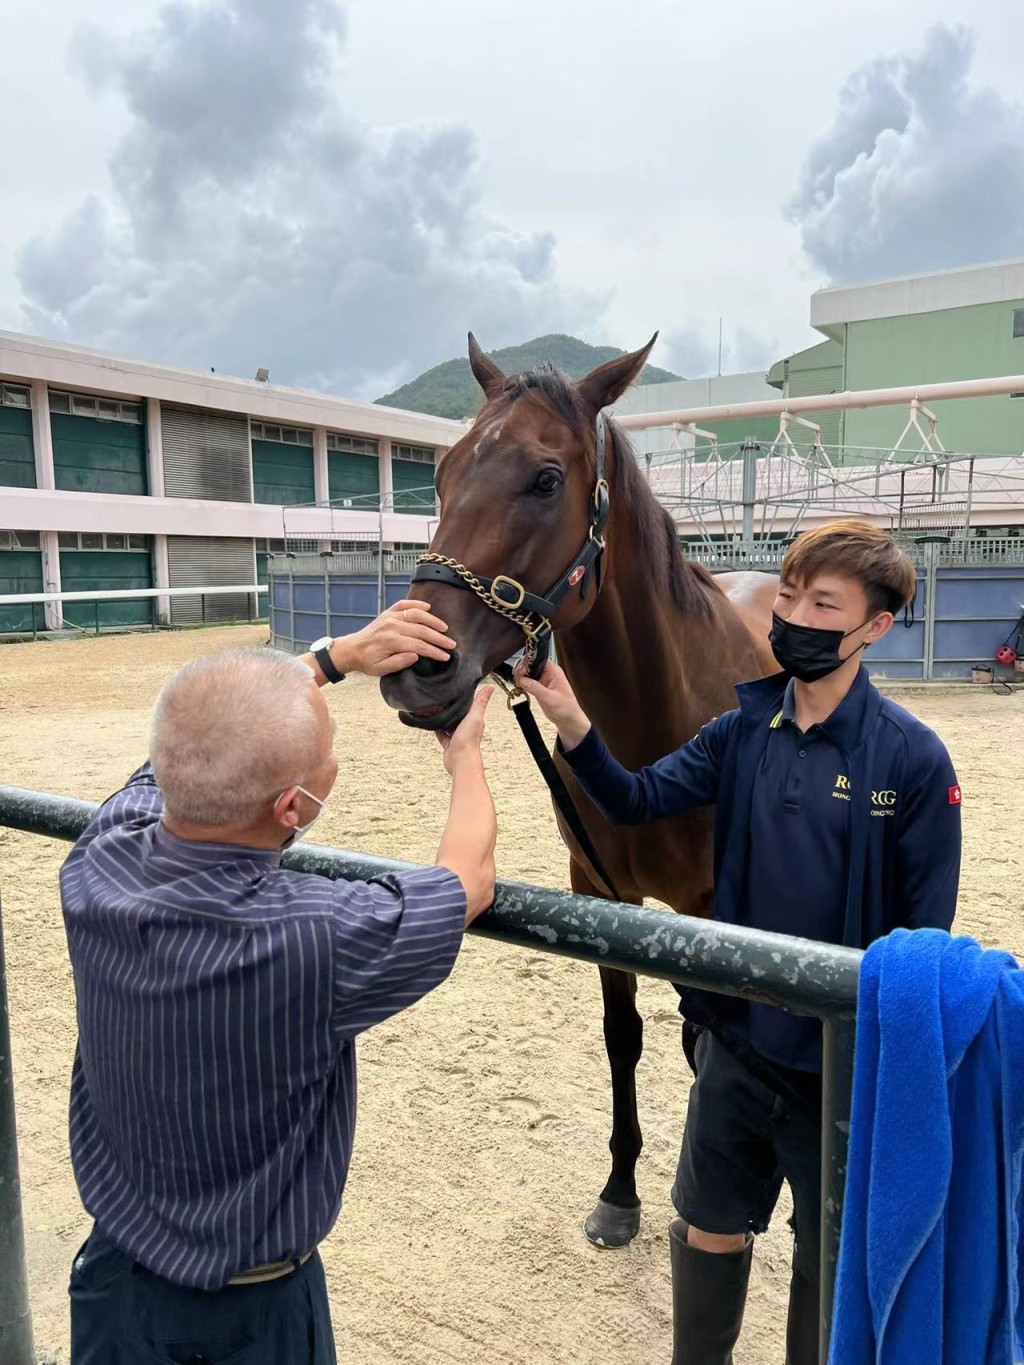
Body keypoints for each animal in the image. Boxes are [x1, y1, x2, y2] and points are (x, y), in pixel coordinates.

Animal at [382, 338, 775, 1250]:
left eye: (545, 479)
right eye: (443, 473)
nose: (416, 667)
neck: (655, 732)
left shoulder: (712, 906)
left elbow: (707, 1040)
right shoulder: (599, 893)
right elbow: (623, 1036)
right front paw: (621, 1191)